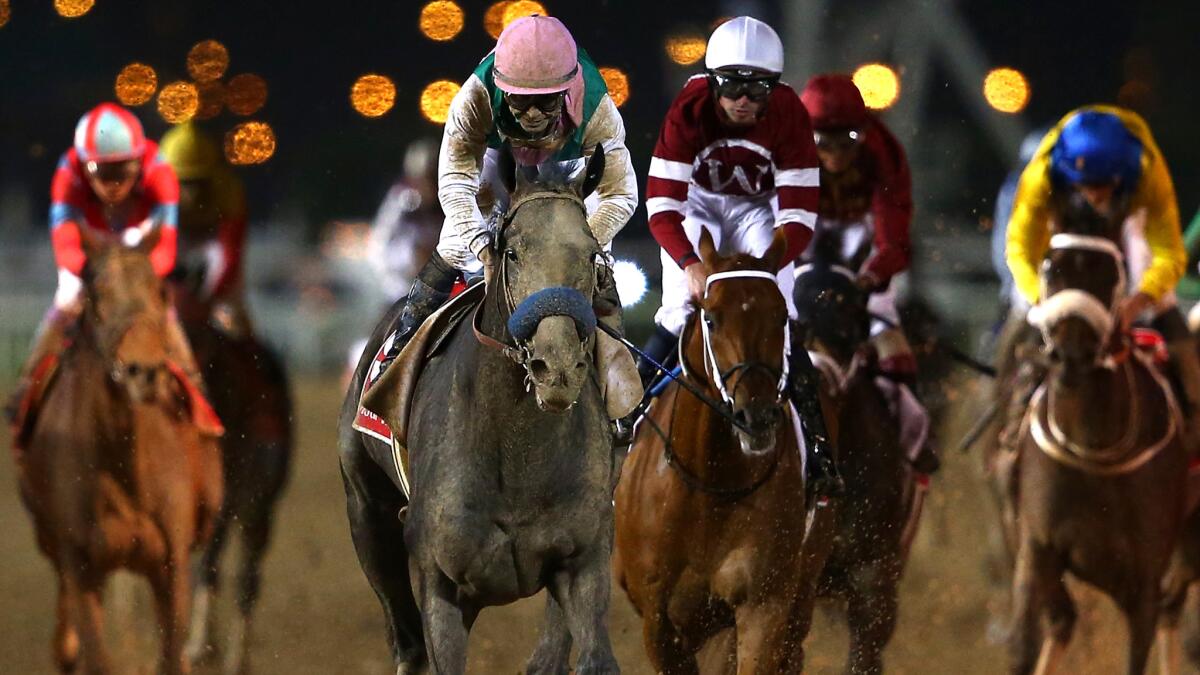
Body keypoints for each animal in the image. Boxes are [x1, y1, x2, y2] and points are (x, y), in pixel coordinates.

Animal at [16, 227, 223, 672]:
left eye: (160, 291)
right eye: (96, 293)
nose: (142, 370)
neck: (125, 461)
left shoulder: (172, 563)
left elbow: (172, 655)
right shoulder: (80, 563)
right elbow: (94, 654)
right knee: (66, 636)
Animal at [338, 153, 619, 672]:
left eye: (591, 255)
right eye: (513, 253)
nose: (557, 366)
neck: (517, 455)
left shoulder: (583, 562)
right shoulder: (440, 586)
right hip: (366, 514)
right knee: (406, 643)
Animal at [619, 228, 835, 667]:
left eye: (781, 316)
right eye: (711, 318)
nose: (757, 416)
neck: (710, 482)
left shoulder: (763, 604)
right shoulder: (658, 623)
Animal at [1003, 233, 1190, 672]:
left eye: (1111, 275)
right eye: (1051, 267)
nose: (1071, 354)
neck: (1091, 452)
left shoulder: (1143, 582)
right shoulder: (1039, 547)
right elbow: (1038, 634)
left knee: (1171, 610)